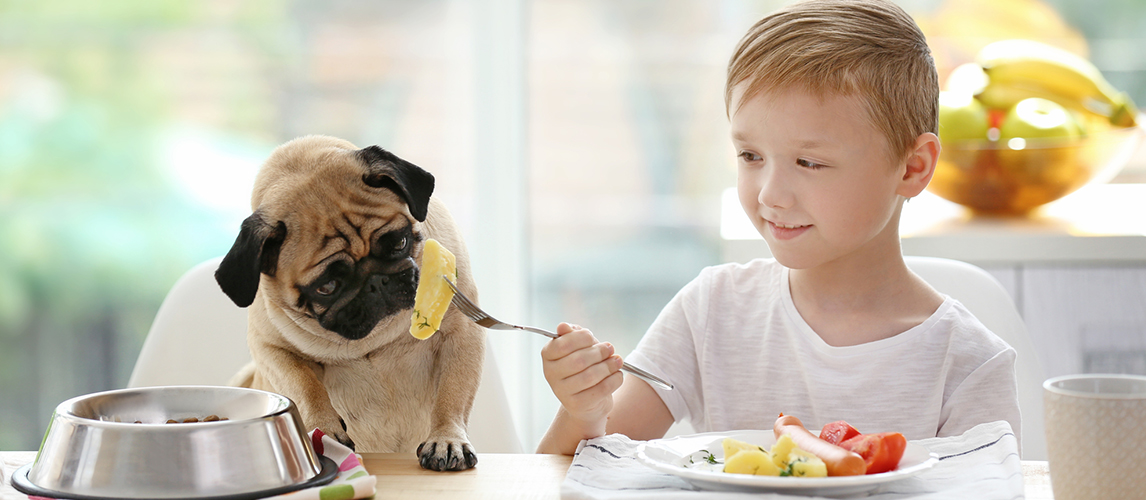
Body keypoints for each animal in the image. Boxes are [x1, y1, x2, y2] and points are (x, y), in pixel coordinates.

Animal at [216, 134, 485, 470]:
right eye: (327, 286)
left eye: (400, 242)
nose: (376, 282)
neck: (375, 339)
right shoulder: (273, 351)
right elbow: (305, 386)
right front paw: (323, 427)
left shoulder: (460, 334)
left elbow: (452, 394)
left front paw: (447, 439)